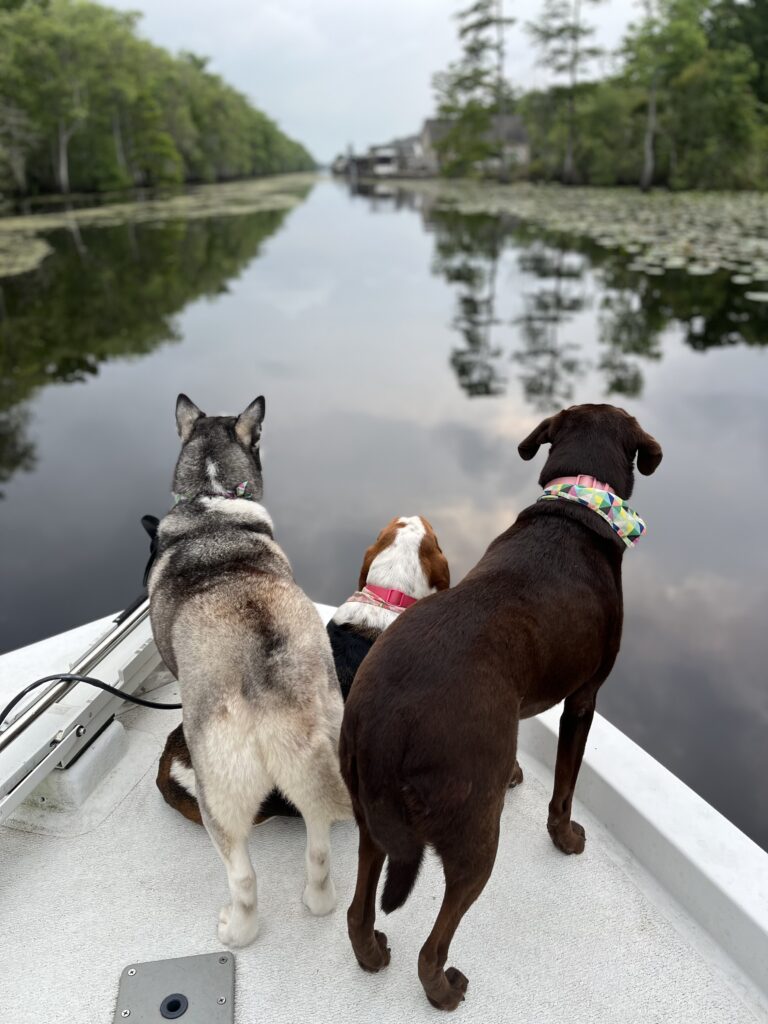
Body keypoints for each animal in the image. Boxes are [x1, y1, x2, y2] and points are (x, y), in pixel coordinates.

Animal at [148, 389, 354, 942]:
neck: (211, 500)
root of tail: (276, 697)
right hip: (327, 758)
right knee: (319, 849)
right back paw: (318, 901)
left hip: (219, 798)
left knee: (243, 878)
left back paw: (236, 930)